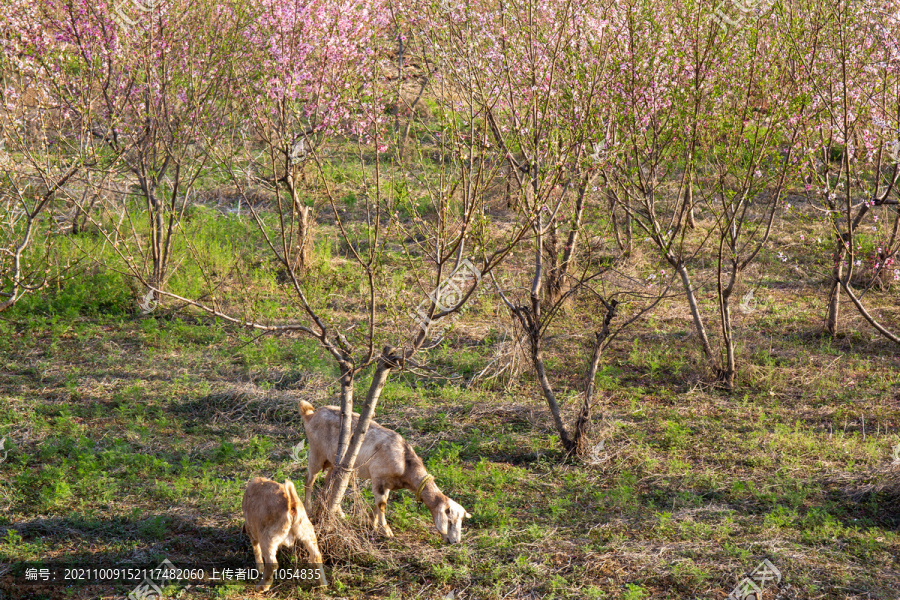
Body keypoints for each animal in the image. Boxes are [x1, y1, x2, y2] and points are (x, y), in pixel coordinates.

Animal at [300, 400, 474, 548]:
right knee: (309, 480)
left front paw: (372, 522)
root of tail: (311, 414)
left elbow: (378, 504)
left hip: (336, 463)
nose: (455, 542)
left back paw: (339, 513)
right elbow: (382, 504)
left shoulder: (387, 484)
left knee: (331, 484)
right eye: (450, 521)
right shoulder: (378, 478)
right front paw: (386, 531)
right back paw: (308, 508)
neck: (405, 463)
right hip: (316, 453)